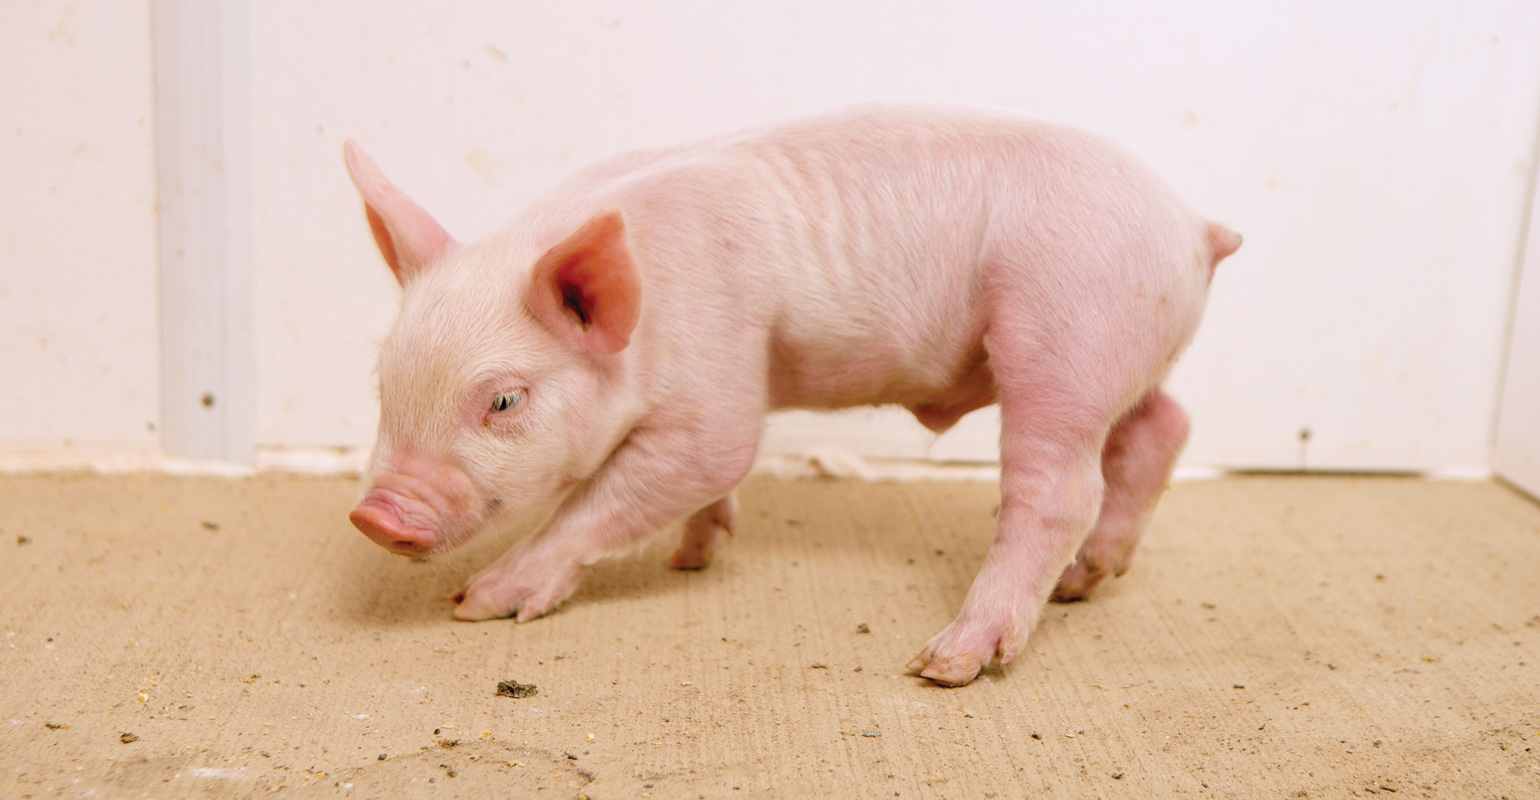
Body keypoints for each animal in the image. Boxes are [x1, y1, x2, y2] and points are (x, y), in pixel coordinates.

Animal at [343, 103, 1232, 684]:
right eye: (384, 382)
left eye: (504, 401)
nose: (375, 516)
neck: (651, 311)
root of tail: (1195, 227)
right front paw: (693, 556)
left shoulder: (717, 381)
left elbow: (667, 475)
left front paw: (475, 603)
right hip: (1118, 349)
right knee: (1163, 425)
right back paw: (1088, 581)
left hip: (1065, 330)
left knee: (1058, 487)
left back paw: (946, 662)